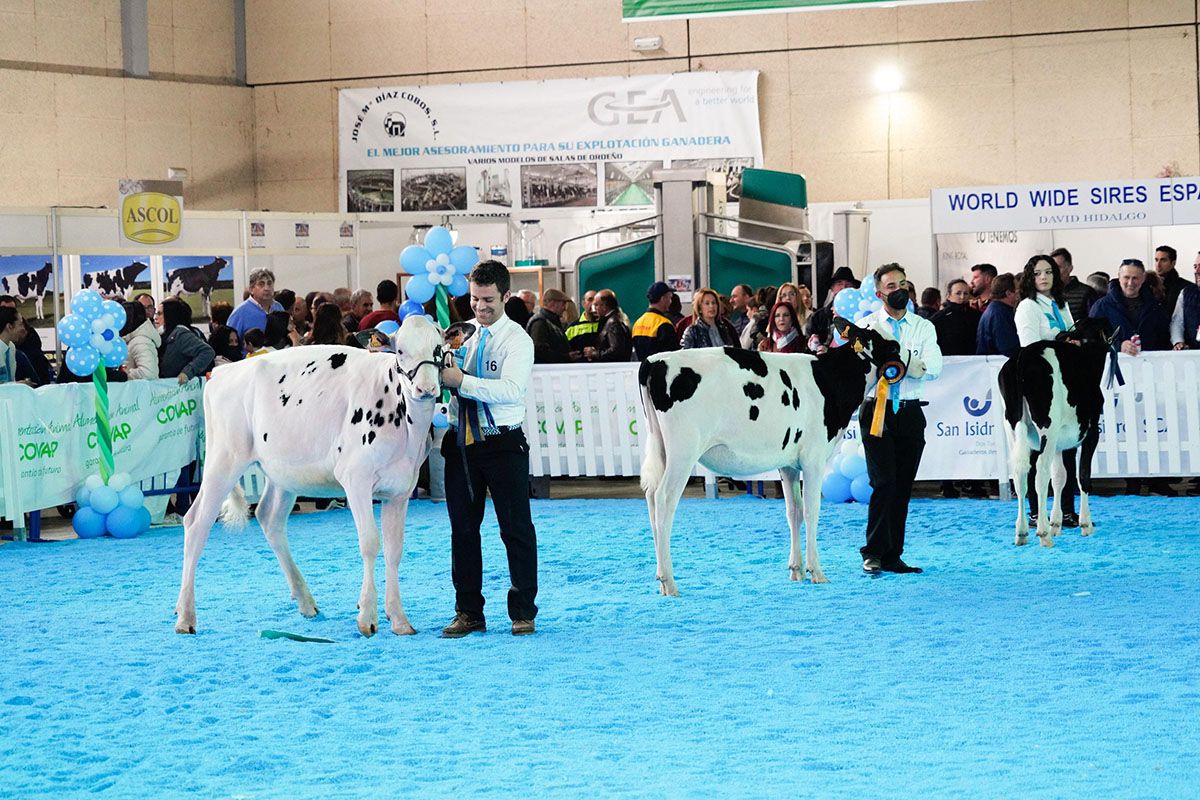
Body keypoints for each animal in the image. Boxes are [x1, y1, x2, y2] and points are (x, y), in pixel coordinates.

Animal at [175, 316, 444, 633]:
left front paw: (399, 619)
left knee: (269, 518)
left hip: (282, 473)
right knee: (196, 522)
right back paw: (185, 616)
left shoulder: (401, 490)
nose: (426, 388)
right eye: (400, 351)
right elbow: (370, 542)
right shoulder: (356, 478)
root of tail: (221, 372)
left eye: (439, 349)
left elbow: (394, 549)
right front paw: (367, 616)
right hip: (223, 460)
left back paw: (305, 600)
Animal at [638, 319, 902, 594]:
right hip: (683, 451)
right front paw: (815, 571)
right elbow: (812, 511)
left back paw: (660, 579)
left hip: (661, 448)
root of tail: (655, 360)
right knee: (664, 499)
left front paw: (796, 570)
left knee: (651, 497)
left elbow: (794, 511)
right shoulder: (814, 459)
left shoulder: (788, 464)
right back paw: (669, 581)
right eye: (894, 346)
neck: (829, 380)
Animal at [998, 316, 1108, 546]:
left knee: (1021, 474)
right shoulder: (1092, 432)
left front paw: (1056, 523)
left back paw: (1022, 532)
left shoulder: (1060, 442)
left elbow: (1060, 478)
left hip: (1012, 426)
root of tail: (1022, 356)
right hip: (1047, 428)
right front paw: (1085, 524)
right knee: (1040, 471)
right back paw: (1043, 533)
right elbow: (1082, 475)